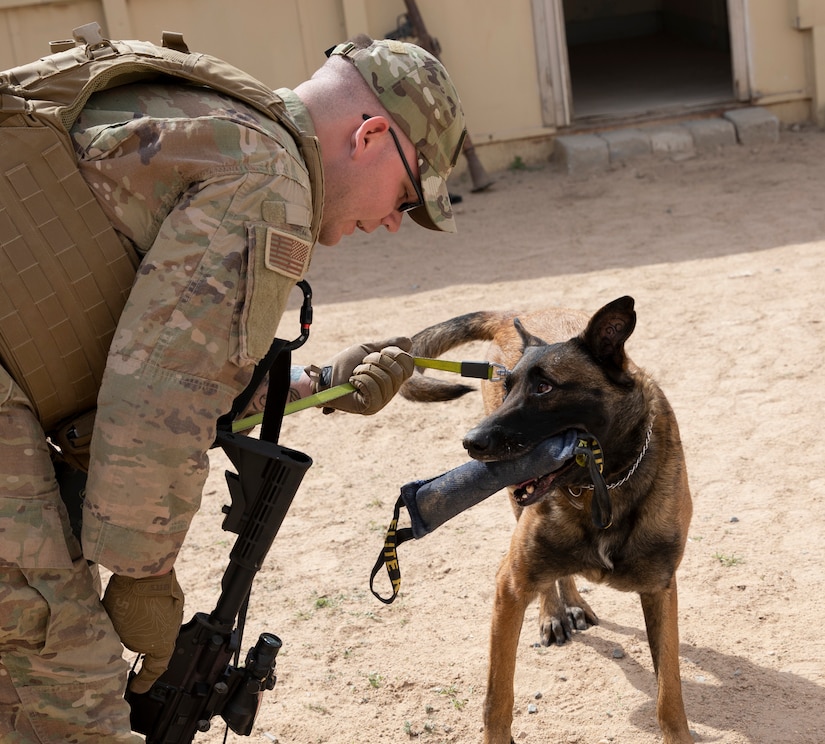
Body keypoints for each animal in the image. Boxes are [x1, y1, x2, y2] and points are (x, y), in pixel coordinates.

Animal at [402, 296, 692, 744]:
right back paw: (555, 611)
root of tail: (515, 313)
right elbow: (497, 699)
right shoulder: (509, 586)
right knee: (547, 577)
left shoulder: (661, 589)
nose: (471, 442)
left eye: (545, 388)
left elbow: (669, 694)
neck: (600, 487)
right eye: (509, 387)